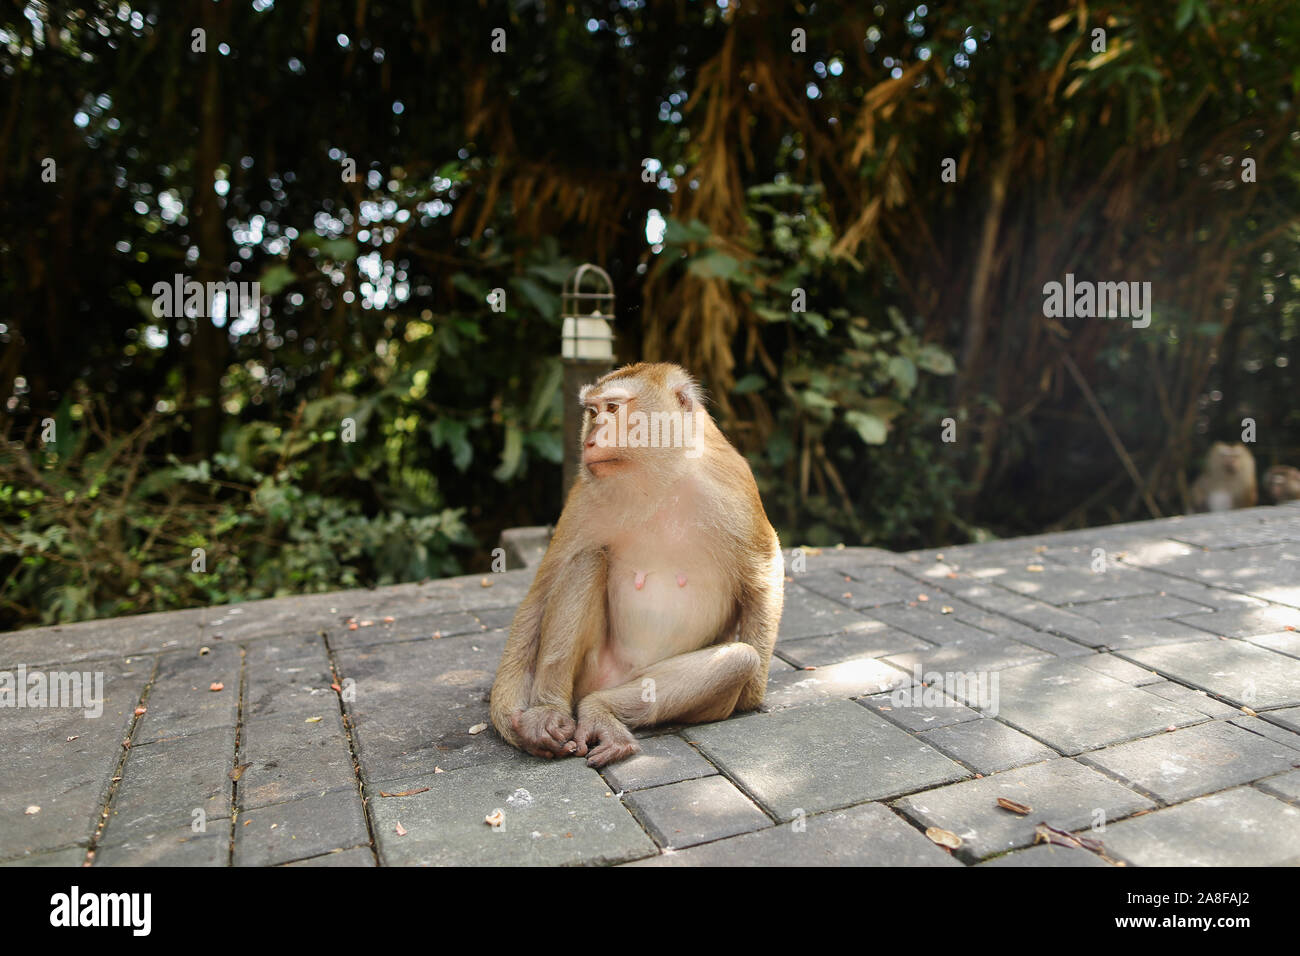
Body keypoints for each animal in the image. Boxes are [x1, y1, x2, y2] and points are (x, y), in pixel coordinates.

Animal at [488, 361, 780, 764]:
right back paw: (550, 710)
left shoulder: (734, 487)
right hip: (590, 671)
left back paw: (601, 711)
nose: (590, 440)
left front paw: (751, 696)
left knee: (739, 659)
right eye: (592, 412)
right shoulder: (584, 495)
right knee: (585, 561)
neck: (658, 482)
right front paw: (513, 715)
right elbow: (542, 591)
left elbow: (764, 572)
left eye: (613, 409)